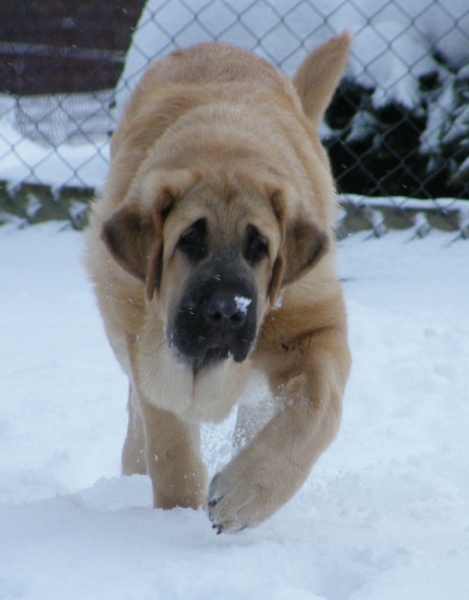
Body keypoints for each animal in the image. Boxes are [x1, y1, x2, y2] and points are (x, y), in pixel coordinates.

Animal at [86, 32, 352, 532]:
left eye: (259, 247)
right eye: (189, 240)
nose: (228, 312)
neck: (224, 146)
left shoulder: (314, 328)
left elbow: (314, 409)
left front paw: (246, 493)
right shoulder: (148, 348)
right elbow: (170, 448)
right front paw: (175, 517)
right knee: (139, 427)